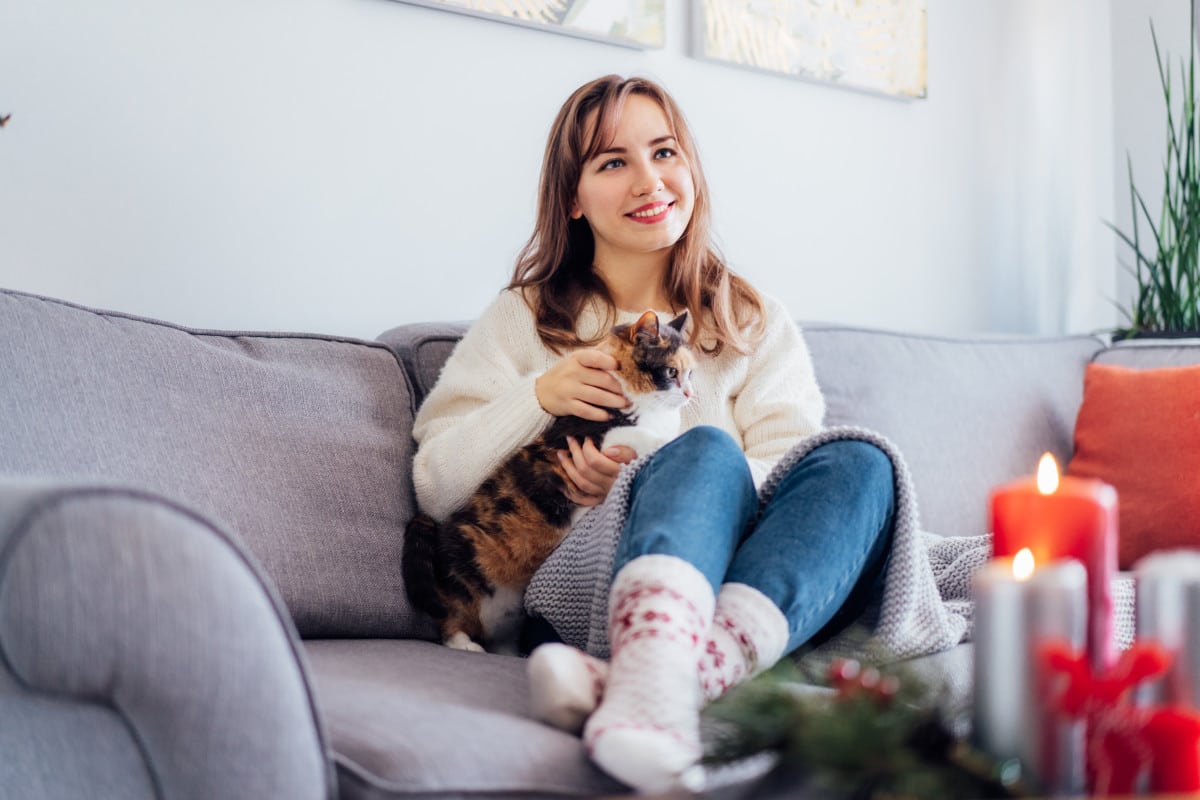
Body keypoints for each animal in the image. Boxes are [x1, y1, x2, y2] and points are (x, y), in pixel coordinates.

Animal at [405, 309, 696, 652]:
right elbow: (641, 436)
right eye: (671, 371)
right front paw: (673, 438)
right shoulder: (587, 438)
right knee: (451, 618)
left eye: (690, 374)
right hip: (463, 575)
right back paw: (465, 644)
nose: (689, 393)